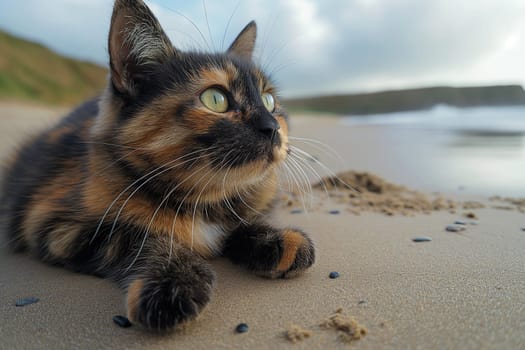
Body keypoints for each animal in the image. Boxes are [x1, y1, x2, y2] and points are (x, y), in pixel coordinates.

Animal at [0, 0, 314, 330]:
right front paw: (174, 281)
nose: (272, 128)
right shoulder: (56, 226)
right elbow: (139, 236)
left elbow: (241, 221)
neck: (202, 200)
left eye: (268, 101)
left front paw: (277, 238)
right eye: (215, 99)